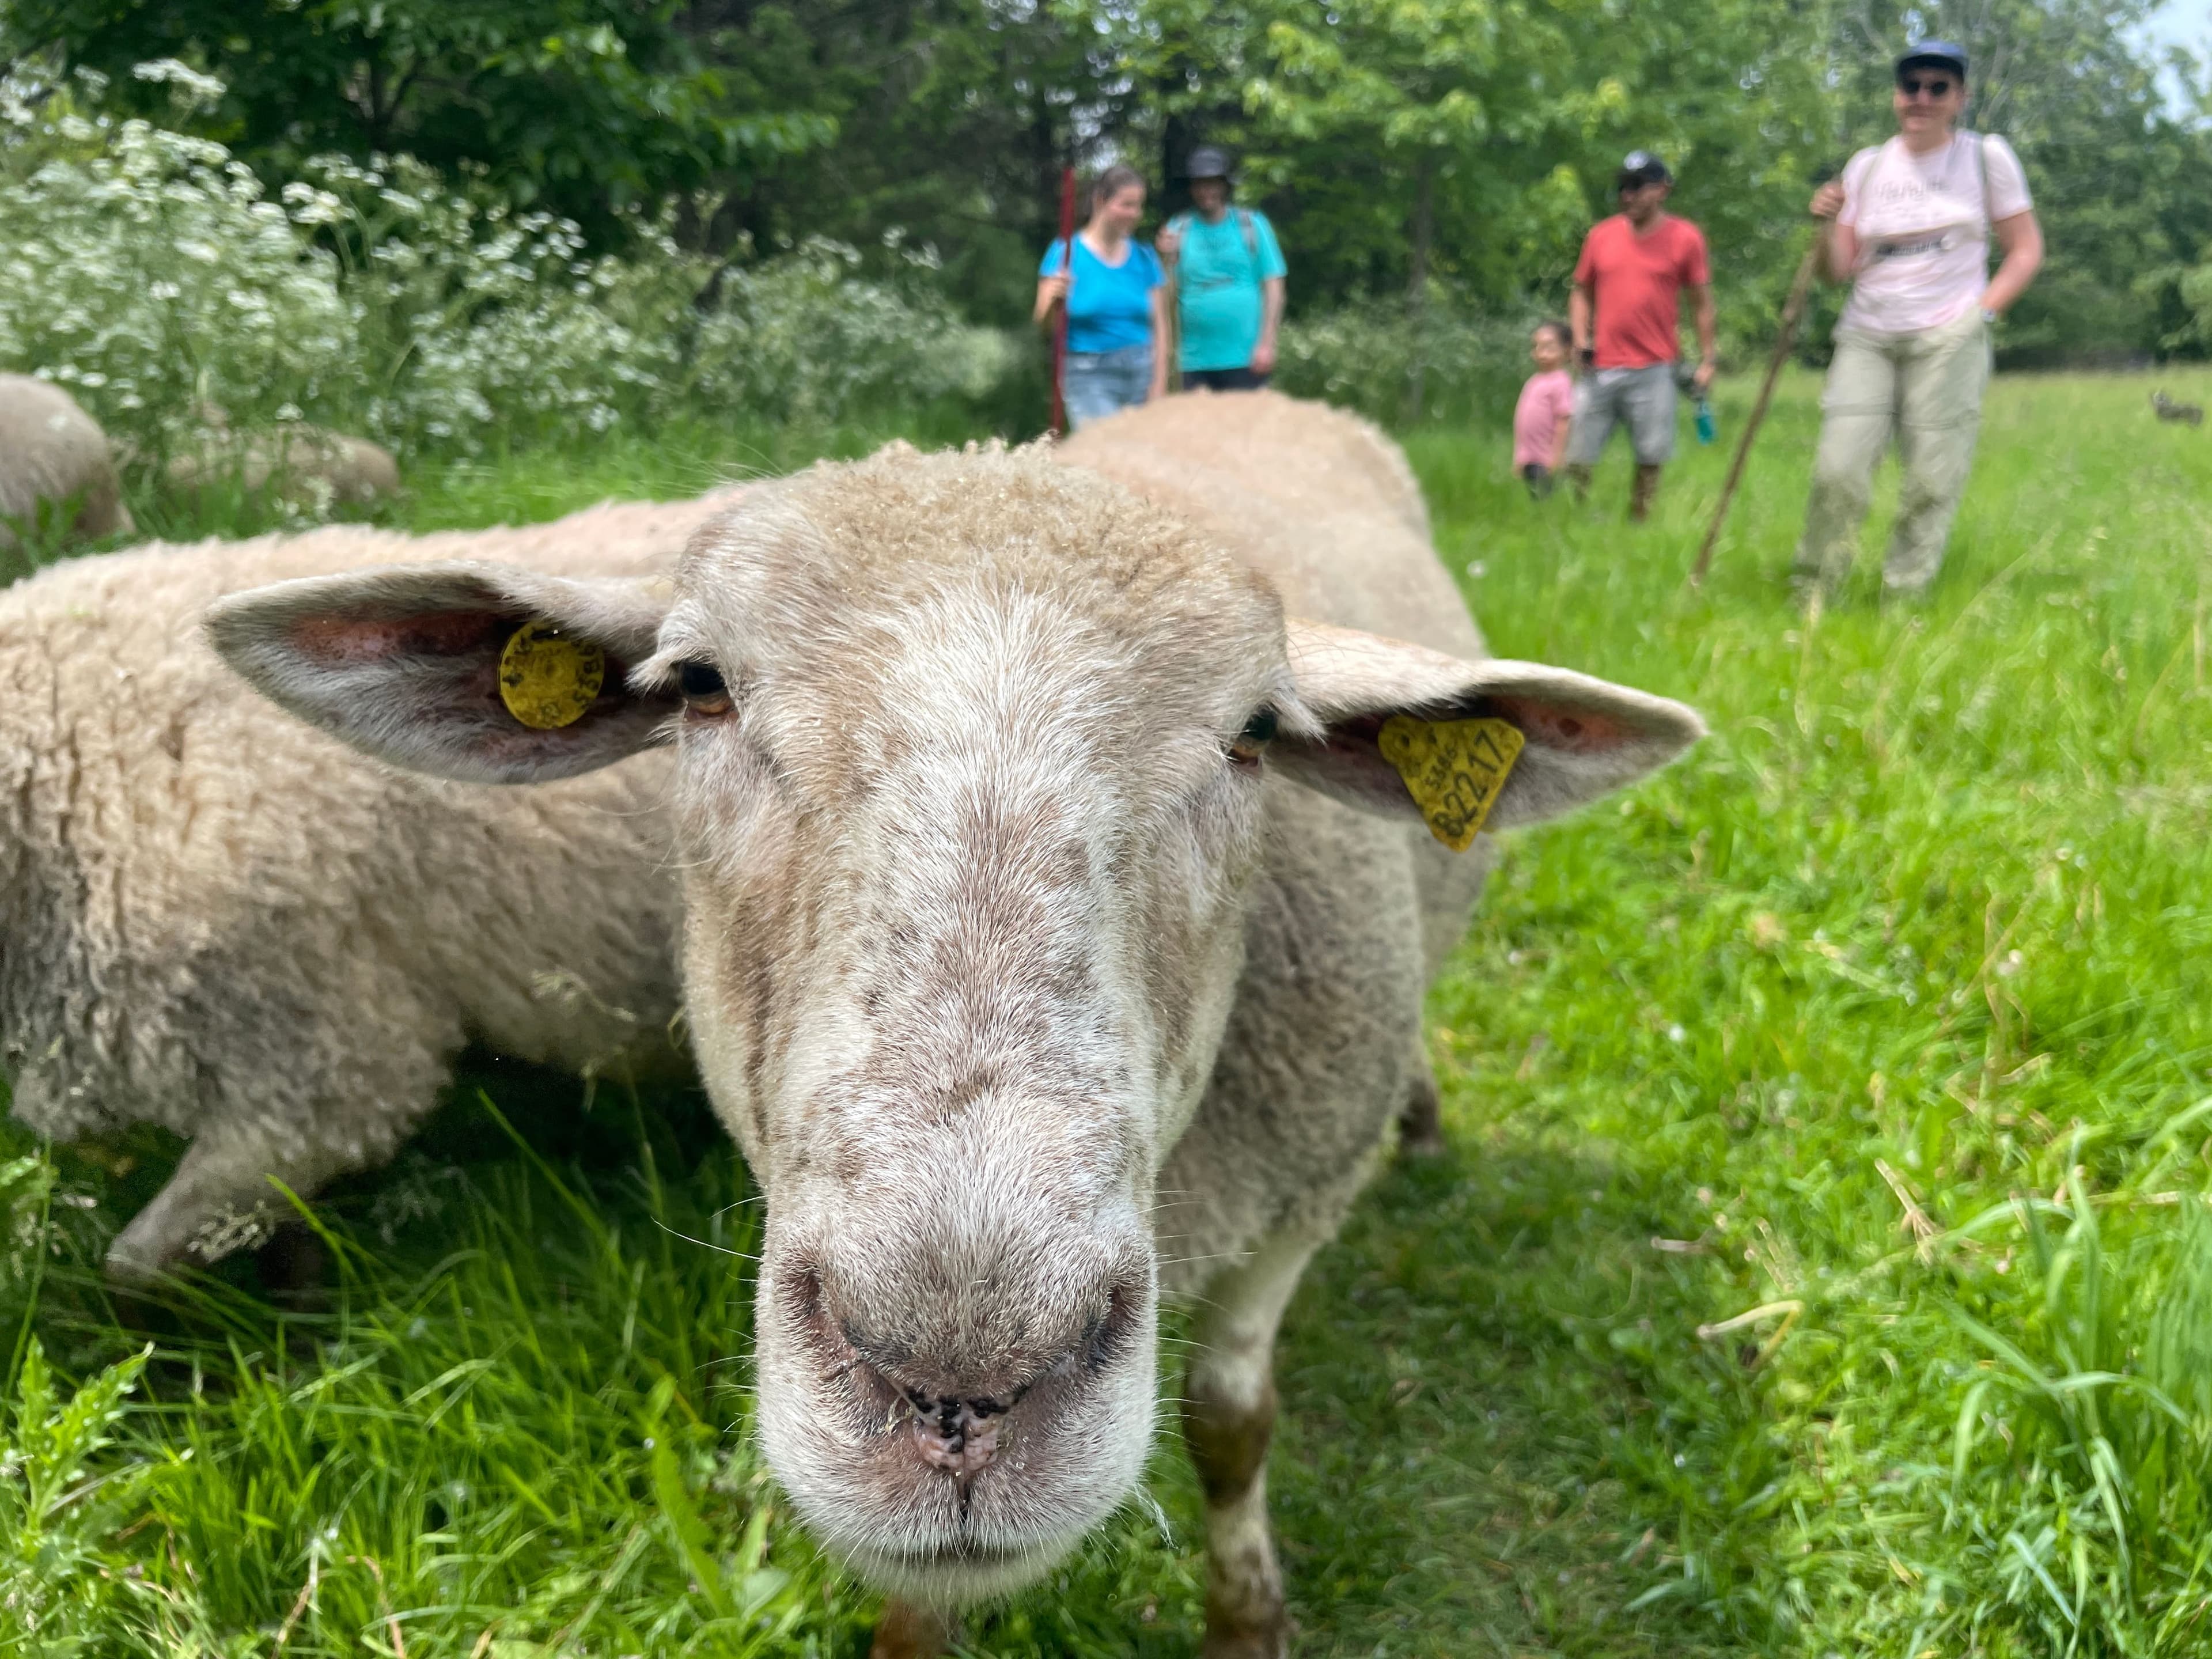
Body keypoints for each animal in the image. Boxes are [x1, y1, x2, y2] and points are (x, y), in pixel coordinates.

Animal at [209, 392, 1704, 1658]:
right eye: (698, 686)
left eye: (1255, 735)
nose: (958, 1385)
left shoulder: (1302, 1196)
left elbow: (1232, 1424)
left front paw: (1244, 1620)